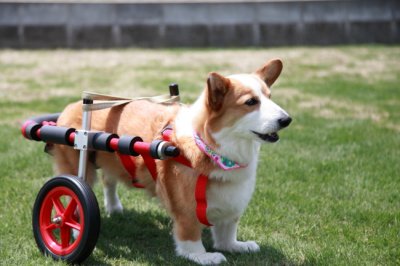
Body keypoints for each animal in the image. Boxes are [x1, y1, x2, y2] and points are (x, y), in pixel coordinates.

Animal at [52, 58, 290, 264]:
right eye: (251, 102)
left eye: (270, 96)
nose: (287, 120)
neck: (210, 146)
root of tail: (71, 106)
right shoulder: (185, 208)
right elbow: (190, 236)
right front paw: (203, 256)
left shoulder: (231, 203)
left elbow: (227, 232)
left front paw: (235, 245)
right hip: (80, 168)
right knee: (73, 198)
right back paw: (72, 228)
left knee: (108, 180)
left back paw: (114, 207)